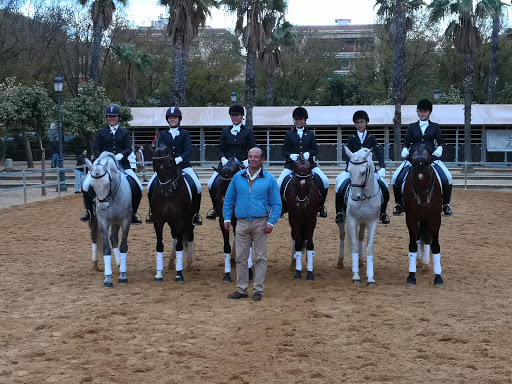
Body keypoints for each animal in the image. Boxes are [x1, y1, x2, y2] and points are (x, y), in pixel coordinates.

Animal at [84, 152, 133, 286]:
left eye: (107, 183)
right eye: (92, 185)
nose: (102, 206)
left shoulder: (125, 221)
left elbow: (123, 246)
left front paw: (123, 275)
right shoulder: (103, 222)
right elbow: (106, 249)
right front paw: (108, 278)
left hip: (116, 221)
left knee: (114, 238)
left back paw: (120, 263)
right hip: (93, 221)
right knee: (94, 238)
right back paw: (95, 264)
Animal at [150, 147, 196, 282]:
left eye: (170, 165)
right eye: (155, 166)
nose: (167, 190)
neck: (169, 197)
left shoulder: (181, 220)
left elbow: (180, 246)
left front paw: (179, 274)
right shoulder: (158, 221)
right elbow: (159, 246)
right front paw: (159, 274)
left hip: (190, 221)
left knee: (190, 236)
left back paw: (189, 263)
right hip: (171, 221)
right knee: (175, 235)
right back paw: (171, 261)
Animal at [338, 147, 382, 284]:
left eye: (363, 172)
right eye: (349, 171)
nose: (354, 197)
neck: (364, 197)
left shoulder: (373, 222)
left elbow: (370, 248)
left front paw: (370, 277)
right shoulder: (351, 221)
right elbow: (354, 248)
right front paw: (356, 276)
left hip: (363, 222)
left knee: (361, 237)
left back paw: (361, 262)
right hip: (342, 220)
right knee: (342, 235)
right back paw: (340, 262)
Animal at [404, 142, 444, 284]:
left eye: (430, 174)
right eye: (413, 177)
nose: (423, 202)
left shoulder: (435, 218)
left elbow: (435, 245)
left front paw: (438, 277)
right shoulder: (410, 218)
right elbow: (412, 245)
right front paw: (411, 275)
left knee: (426, 237)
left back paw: (426, 263)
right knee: (418, 236)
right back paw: (420, 260)